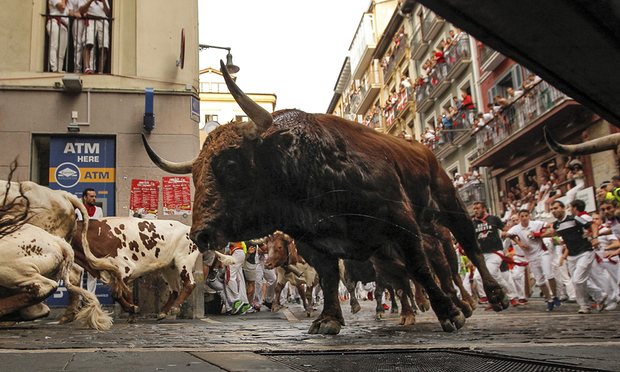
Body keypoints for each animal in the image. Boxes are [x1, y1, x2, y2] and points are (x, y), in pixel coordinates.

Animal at [142, 60, 508, 334]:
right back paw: (460, 302)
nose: (200, 234)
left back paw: (490, 297)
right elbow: (331, 279)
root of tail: (422, 149)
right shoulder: (315, 245)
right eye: (194, 175)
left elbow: (418, 268)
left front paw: (448, 313)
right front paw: (329, 319)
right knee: (442, 261)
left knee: (468, 247)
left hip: (448, 202)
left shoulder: (400, 223)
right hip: (421, 231)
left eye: (231, 165)